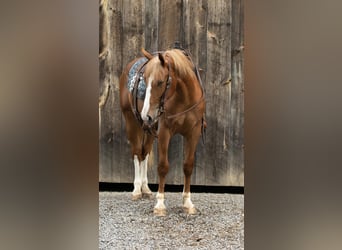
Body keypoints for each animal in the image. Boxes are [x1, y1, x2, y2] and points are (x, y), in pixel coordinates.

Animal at [120, 47, 206, 216]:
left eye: (160, 82)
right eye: (144, 81)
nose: (146, 114)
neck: (183, 98)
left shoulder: (193, 133)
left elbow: (188, 166)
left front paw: (187, 203)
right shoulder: (164, 132)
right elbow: (163, 166)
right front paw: (160, 205)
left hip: (148, 127)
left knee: (144, 153)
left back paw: (145, 189)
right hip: (131, 122)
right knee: (136, 153)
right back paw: (137, 190)